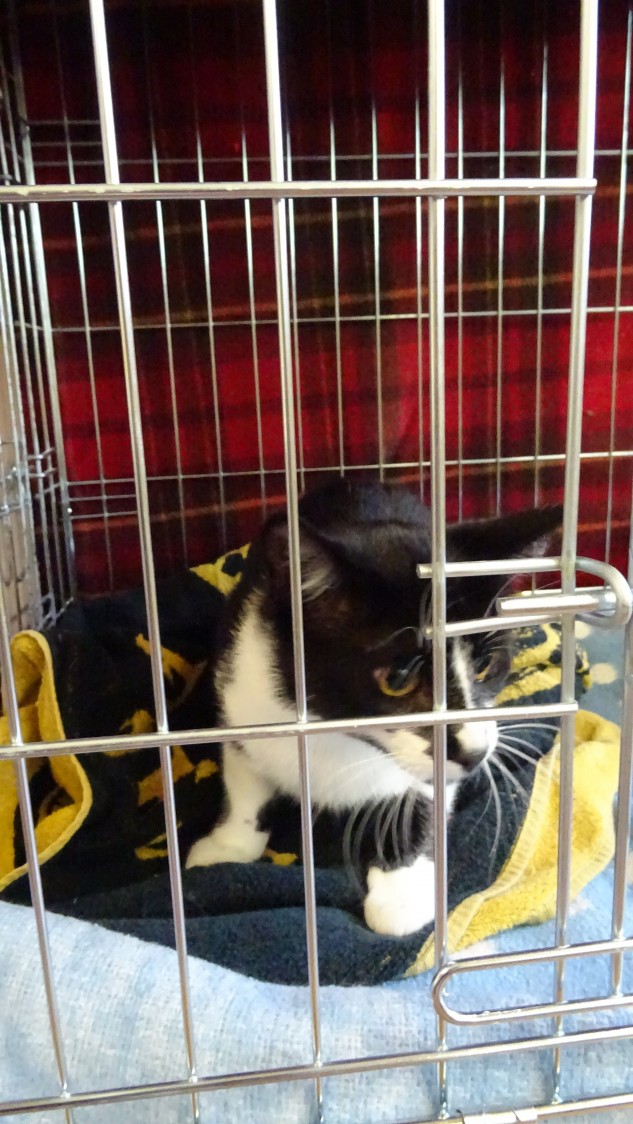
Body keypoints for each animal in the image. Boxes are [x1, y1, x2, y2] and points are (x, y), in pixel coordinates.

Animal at [186, 480, 561, 937]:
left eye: (486, 666)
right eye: (398, 679)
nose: (475, 753)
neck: (336, 730)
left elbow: (426, 793)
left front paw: (401, 892)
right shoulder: (241, 684)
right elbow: (245, 778)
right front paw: (227, 846)